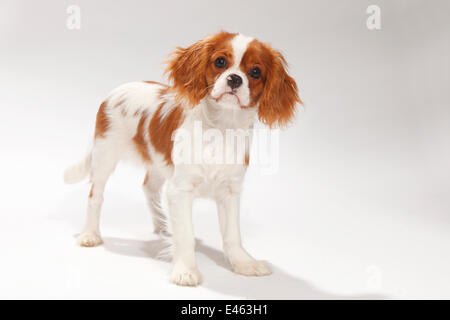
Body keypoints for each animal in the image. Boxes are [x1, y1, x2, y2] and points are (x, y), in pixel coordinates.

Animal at [64, 31, 302, 286]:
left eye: (256, 72)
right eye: (220, 62)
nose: (235, 79)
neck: (221, 128)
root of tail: (114, 92)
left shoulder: (230, 191)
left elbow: (232, 234)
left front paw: (243, 263)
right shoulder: (180, 189)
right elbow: (186, 234)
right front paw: (185, 270)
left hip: (158, 162)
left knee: (148, 187)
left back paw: (163, 225)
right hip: (105, 154)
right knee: (95, 195)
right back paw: (90, 234)